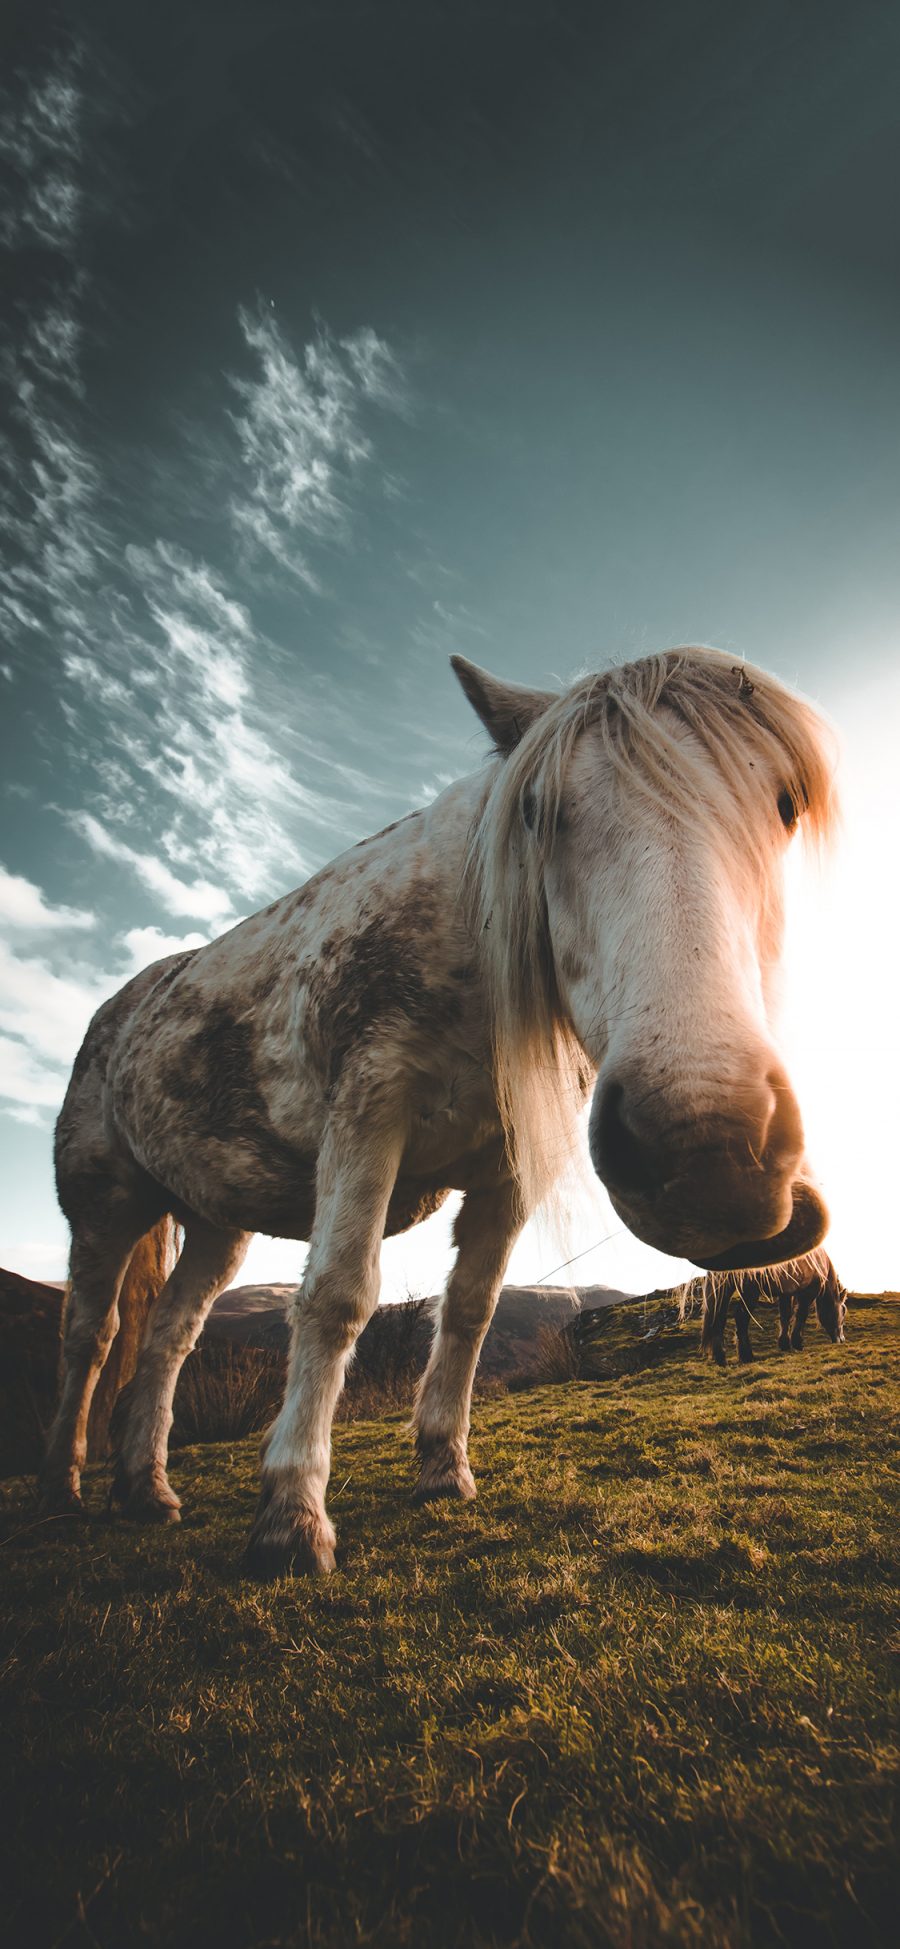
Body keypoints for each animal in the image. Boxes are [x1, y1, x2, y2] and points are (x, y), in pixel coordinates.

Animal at [701, 1247, 845, 1372]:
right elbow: (801, 1315)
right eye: (843, 1313)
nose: (841, 1340)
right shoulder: (809, 1292)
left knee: (718, 1319)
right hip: (749, 1291)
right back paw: (746, 1356)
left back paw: (721, 1358)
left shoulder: (786, 1293)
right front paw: (797, 1343)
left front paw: (784, 1344)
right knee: (741, 1318)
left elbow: (785, 1316)